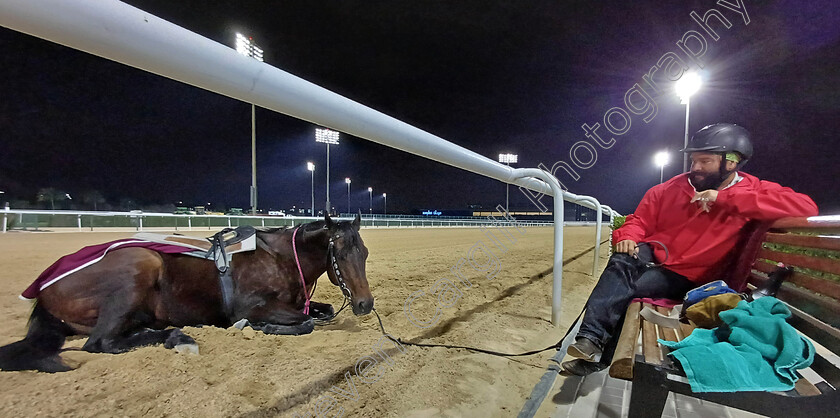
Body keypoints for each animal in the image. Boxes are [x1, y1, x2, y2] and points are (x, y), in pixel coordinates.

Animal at [0, 216, 374, 372]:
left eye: (365, 252)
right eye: (341, 254)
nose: (365, 303)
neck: (278, 256)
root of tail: (45, 289)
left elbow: (321, 312)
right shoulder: (252, 306)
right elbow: (304, 322)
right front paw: (260, 328)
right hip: (141, 265)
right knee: (99, 342)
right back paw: (179, 338)